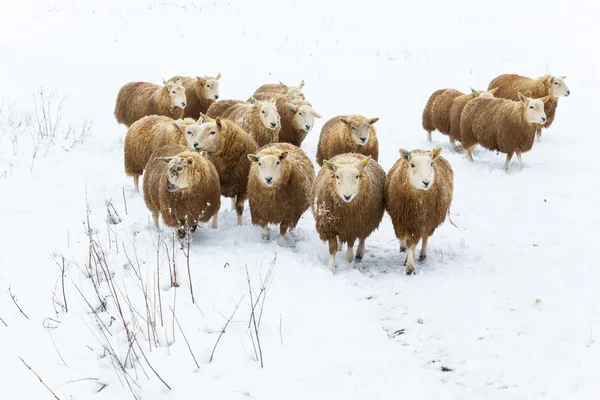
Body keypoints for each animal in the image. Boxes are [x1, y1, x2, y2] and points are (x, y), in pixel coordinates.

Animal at [386, 147, 452, 276]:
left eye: (431, 164)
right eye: (412, 165)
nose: (426, 182)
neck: (418, 205)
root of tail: (422, 149)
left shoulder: (422, 222)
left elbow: (414, 243)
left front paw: (409, 265)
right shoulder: (401, 221)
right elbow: (408, 241)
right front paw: (409, 264)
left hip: (429, 221)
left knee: (425, 237)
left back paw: (422, 254)